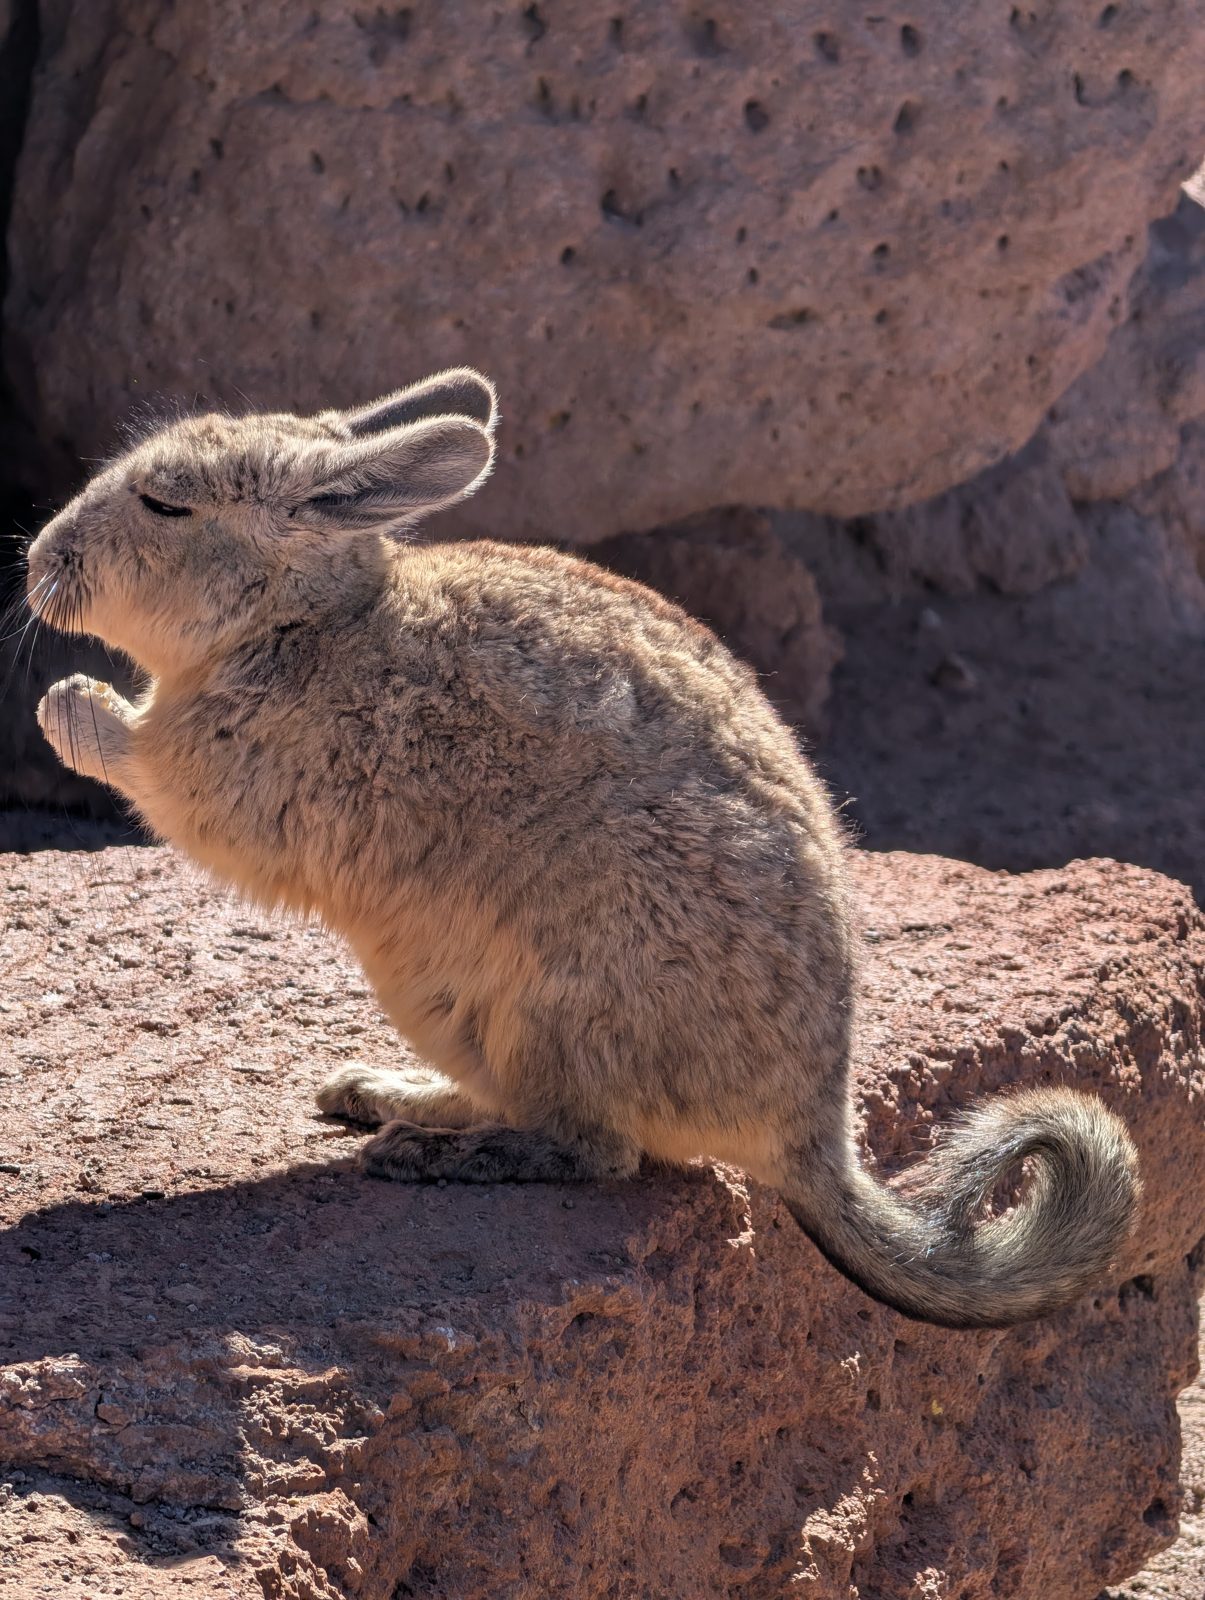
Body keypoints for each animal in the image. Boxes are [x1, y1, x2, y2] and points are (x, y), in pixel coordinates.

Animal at [25, 366, 1139, 1328]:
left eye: (164, 504)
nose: (37, 563)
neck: (300, 622)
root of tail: (811, 1137)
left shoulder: (225, 787)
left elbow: (131, 749)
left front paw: (66, 700)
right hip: (451, 1003)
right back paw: (378, 1093)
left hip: (558, 1000)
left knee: (595, 1150)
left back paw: (423, 1152)